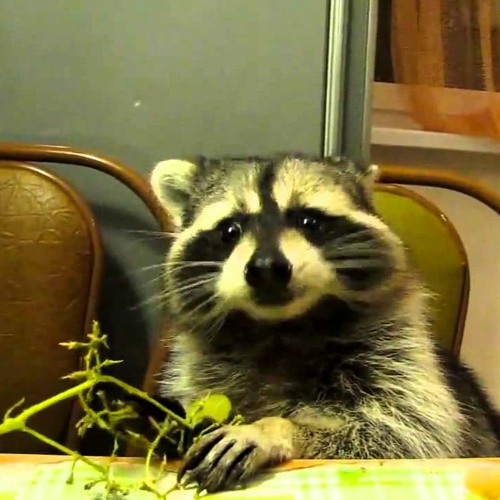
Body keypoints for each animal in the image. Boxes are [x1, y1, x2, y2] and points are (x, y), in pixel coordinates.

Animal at [149, 155, 500, 492]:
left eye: (309, 221)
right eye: (230, 231)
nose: (266, 268)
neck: (280, 327)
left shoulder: (397, 358)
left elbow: (407, 435)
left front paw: (272, 429)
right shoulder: (203, 372)